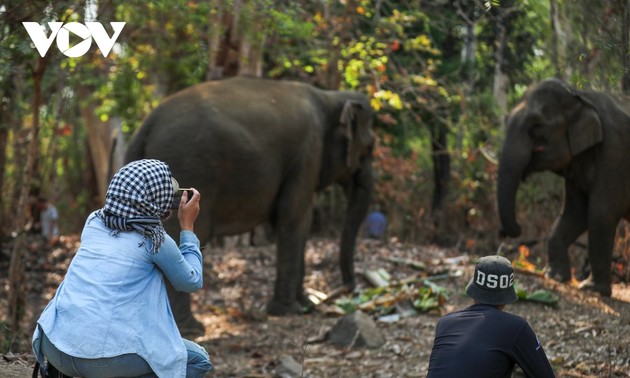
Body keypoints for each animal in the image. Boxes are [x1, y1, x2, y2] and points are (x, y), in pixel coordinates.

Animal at [126, 77, 378, 334]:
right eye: (369, 147)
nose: (350, 289)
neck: (330, 97)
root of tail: (145, 127)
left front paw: (306, 304)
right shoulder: (308, 153)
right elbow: (292, 217)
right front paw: (289, 310)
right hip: (187, 163)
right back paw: (191, 330)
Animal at [498, 78, 630, 296]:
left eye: (536, 126)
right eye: (506, 120)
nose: (505, 233)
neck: (581, 96)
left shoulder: (616, 153)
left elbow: (601, 213)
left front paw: (593, 289)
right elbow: (575, 212)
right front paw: (555, 276)